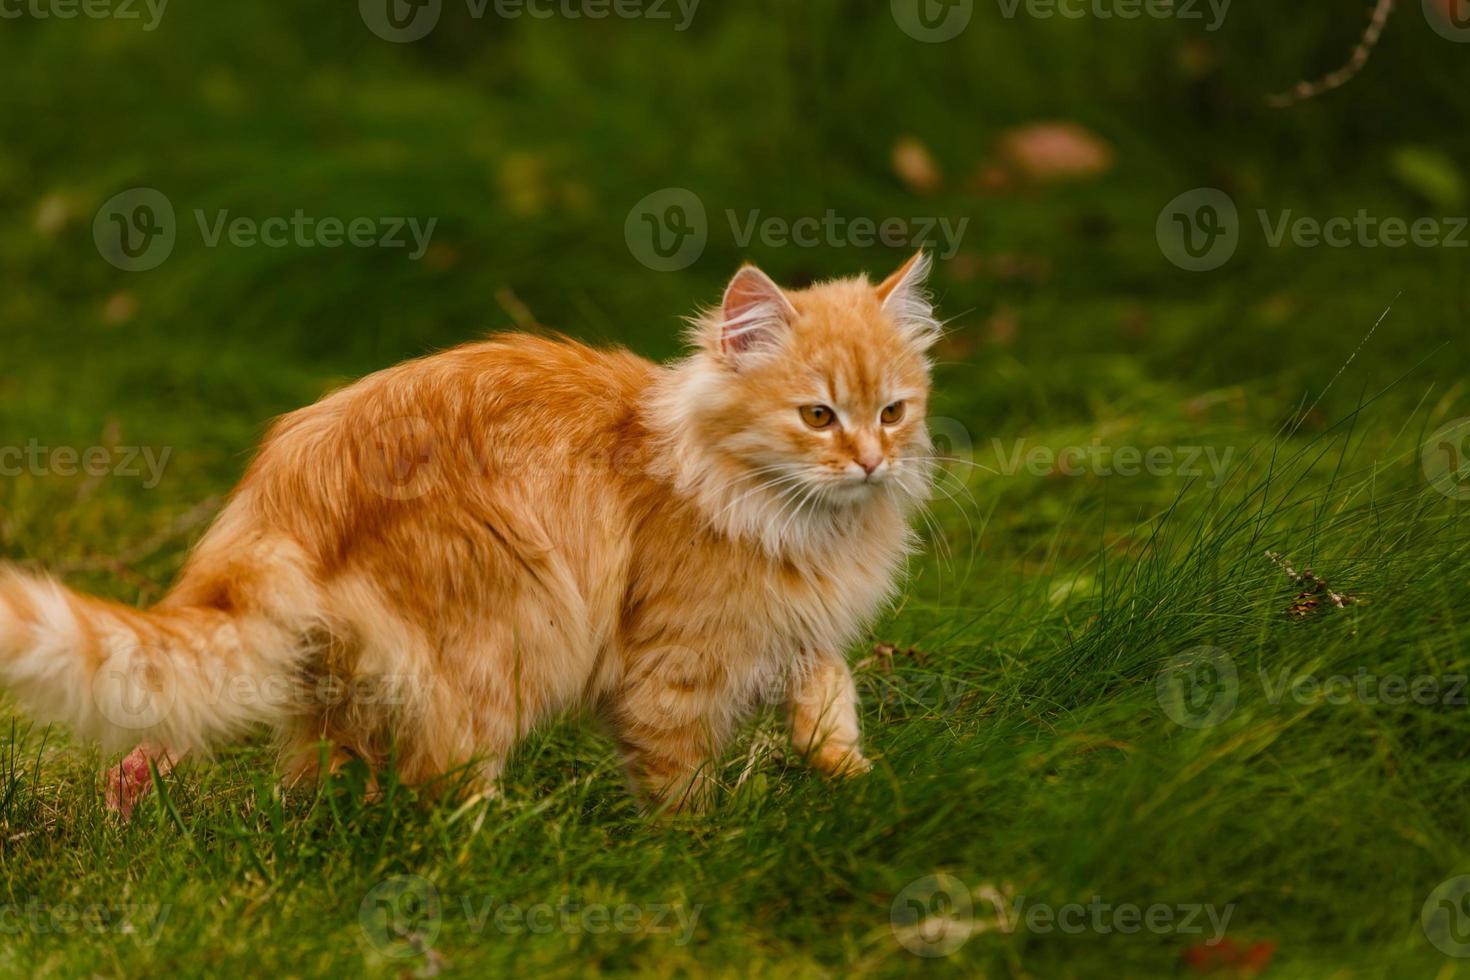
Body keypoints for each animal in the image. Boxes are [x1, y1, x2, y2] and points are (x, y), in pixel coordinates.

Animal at [0, 251, 940, 811]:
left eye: (893, 412)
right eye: (818, 416)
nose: (870, 462)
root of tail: (283, 496)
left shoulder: (799, 628)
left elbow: (831, 694)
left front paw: (847, 772)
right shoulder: (671, 669)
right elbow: (680, 785)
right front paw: (701, 849)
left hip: (344, 686)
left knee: (321, 783)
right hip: (512, 631)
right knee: (438, 790)